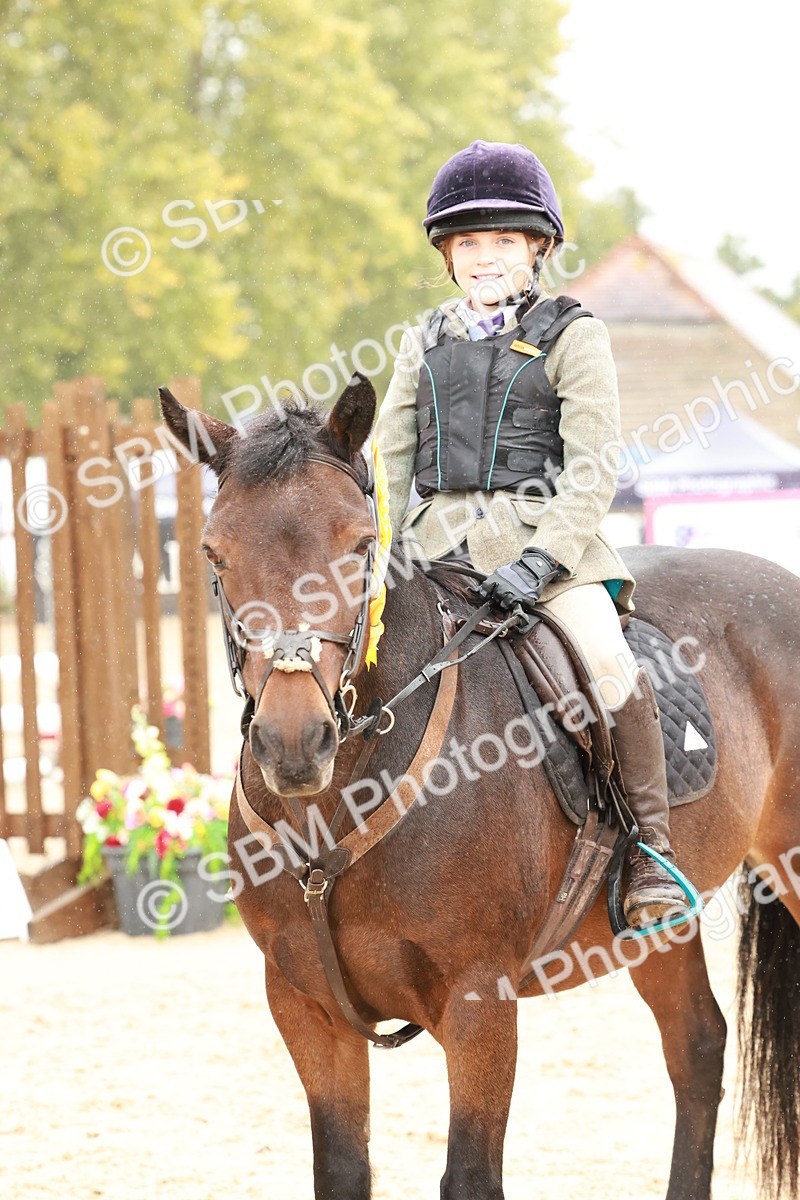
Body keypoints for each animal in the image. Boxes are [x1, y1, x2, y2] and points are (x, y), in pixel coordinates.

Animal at [160, 376, 800, 1200]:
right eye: (214, 552)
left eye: (359, 545)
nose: (293, 742)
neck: (334, 806)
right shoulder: (305, 1008)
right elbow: (341, 1169)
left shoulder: (478, 1006)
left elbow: (469, 1174)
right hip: (656, 928)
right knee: (695, 1047)